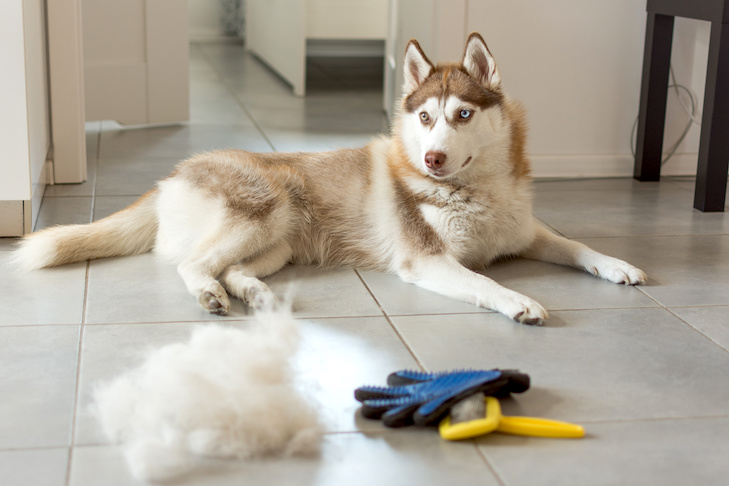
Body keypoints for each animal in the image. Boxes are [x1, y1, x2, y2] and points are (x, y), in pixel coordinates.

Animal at [14, 33, 644, 322]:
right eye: (424, 118)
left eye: (463, 115)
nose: (434, 159)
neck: (473, 192)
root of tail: (170, 177)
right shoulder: (429, 260)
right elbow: (484, 282)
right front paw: (518, 300)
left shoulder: (528, 233)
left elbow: (577, 245)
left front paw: (619, 265)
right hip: (266, 207)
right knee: (192, 264)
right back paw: (212, 296)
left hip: (278, 242)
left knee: (232, 267)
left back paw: (252, 292)